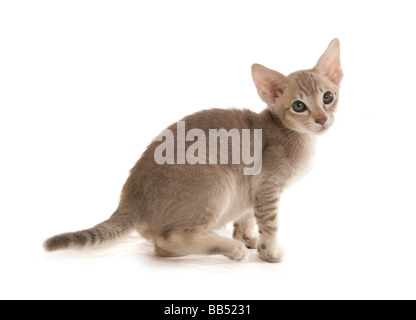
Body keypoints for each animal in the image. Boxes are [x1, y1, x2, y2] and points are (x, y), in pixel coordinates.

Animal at [44, 38, 342, 262]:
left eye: (328, 97)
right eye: (299, 106)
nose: (322, 119)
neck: (293, 135)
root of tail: (130, 198)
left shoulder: (252, 189)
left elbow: (246, 216)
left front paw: (248, 238)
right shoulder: (267, 187)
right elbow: (270, 223)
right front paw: (269, 252)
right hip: (217, 179)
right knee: (167, 240)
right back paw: (227, 249)